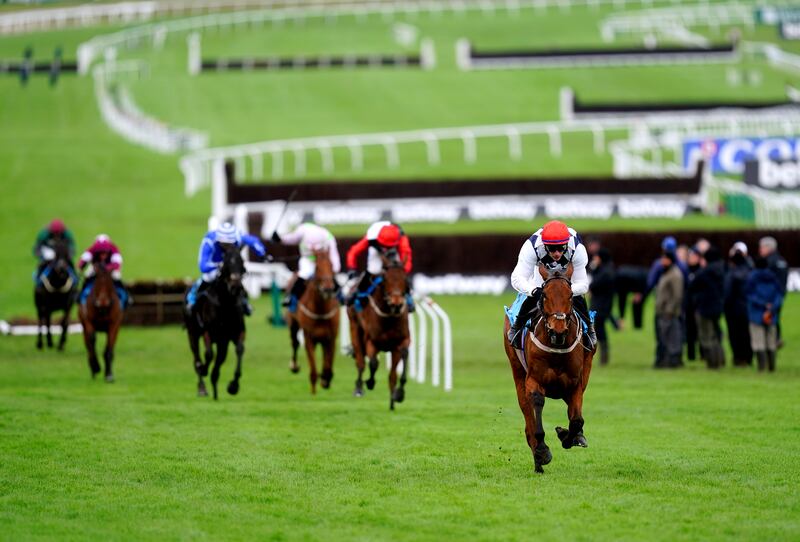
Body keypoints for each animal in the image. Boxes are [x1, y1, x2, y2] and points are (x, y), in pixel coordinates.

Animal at [184, 244, 247, 402]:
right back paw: (202, 386)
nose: (236, 286)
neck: (225, 303)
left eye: (242, 261)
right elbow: (208, 355)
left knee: (219, 359)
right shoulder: (208, 331)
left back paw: (215, 386)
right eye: (226, 263)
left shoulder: (237, 332)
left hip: (222, 341)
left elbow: (240, 349)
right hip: (192, 334)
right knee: (197, 358)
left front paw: (233, 386)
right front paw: (204, 370)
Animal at [286, 251, 340, 396]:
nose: (328, 289)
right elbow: (313, 369)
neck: (320, 310)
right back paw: (294, 365)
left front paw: (326, 379)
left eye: (331, 265)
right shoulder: (309, 338)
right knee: (294, 343)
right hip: (293, 324)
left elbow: (328, 363)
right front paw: (314, 391)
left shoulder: (331, 338)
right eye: (317, 267)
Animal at [348, 258, 412, 410]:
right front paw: (370, 382)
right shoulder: (371, 341)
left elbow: (398, 367)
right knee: (360, 361)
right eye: (385, 279)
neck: (389, 317)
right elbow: (373, 363)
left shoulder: (401, 342)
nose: (396, 303)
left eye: (405, 279)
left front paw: (398, 394)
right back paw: (359, 388)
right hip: (355, 327)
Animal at [504, 266, 596, 474]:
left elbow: (577, 419)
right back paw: (538, 458)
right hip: (517, 371)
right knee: (527, 415)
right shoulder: (534, 381)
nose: (558, 330)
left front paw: (567, 436)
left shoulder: (575, 384)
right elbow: (536, 407)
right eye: (544, 295)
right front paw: (542, 451)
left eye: (570, 295)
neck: (557, 348)